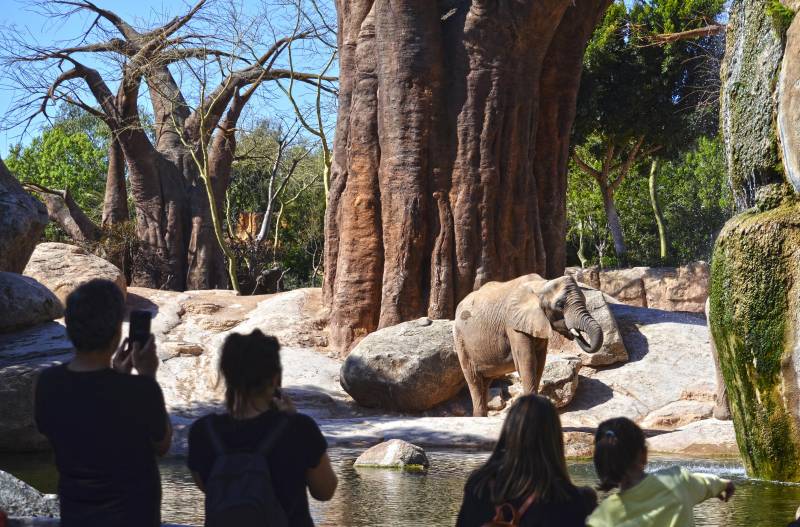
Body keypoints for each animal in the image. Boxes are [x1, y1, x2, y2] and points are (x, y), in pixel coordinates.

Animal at [454, 272, 604, 416]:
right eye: (560, 305)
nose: (575, 333)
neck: (541, 285)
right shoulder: (513, 324)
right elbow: (527, 361)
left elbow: (540, 362)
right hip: (460, 341)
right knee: (474, 381)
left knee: (485, 382)